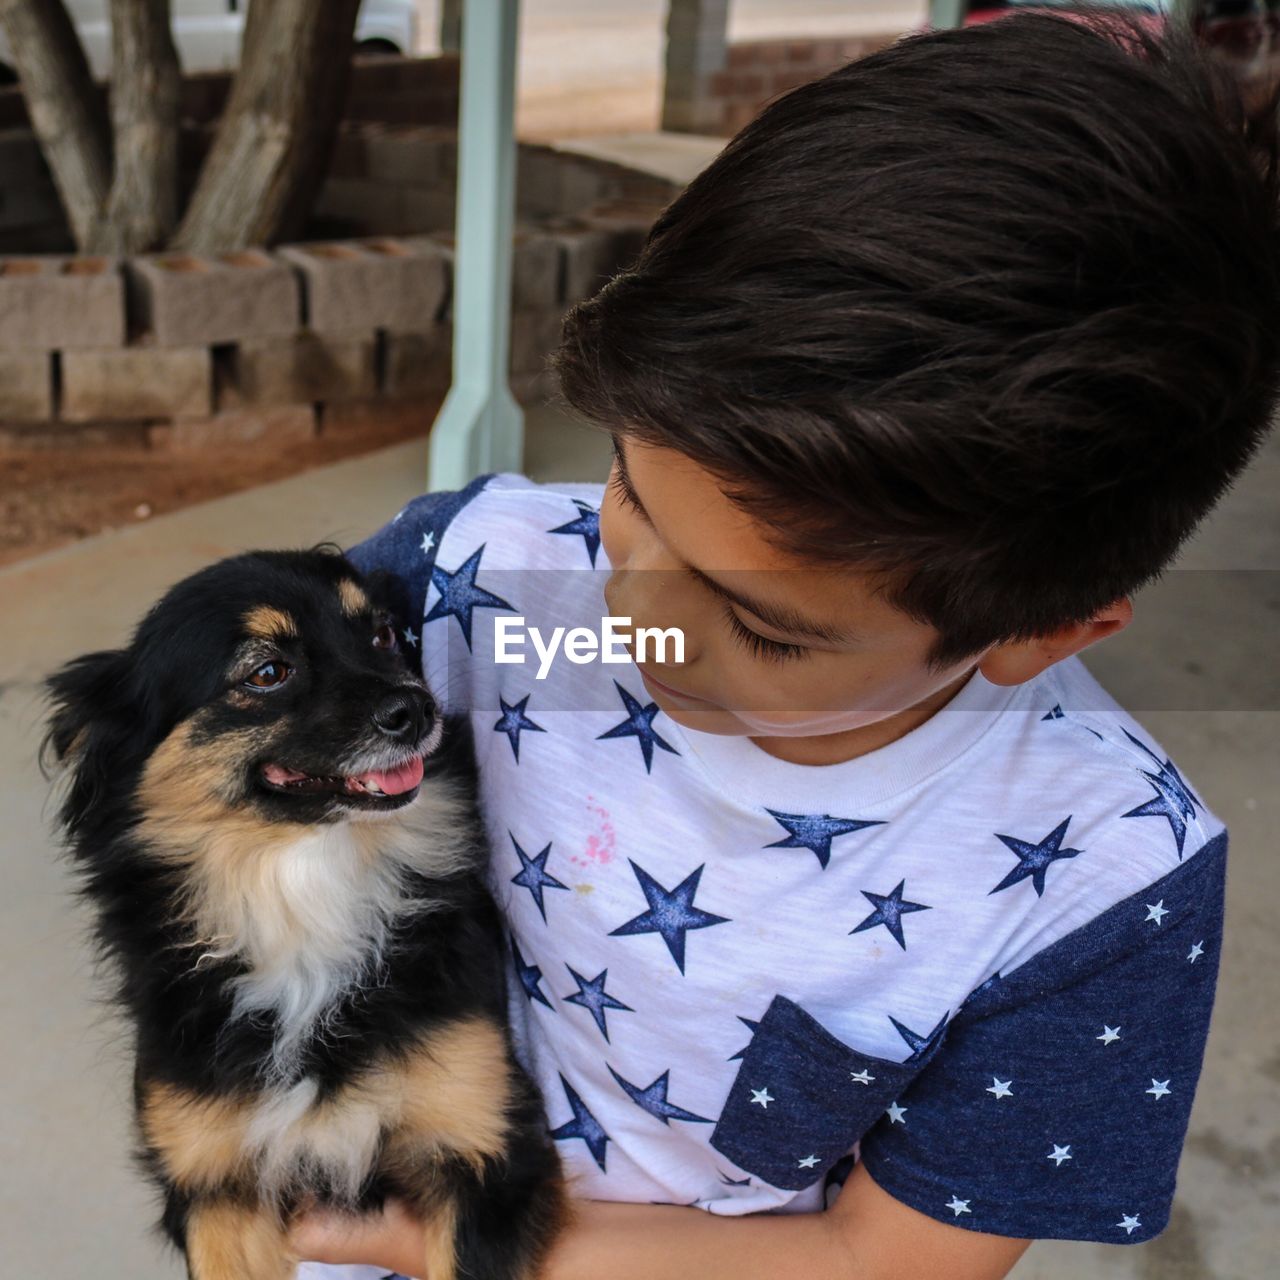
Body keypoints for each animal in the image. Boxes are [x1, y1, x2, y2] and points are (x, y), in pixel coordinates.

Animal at [45, 550, 565, 1280]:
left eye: (382, 635)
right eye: (267, 672)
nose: (418, 706)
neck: (304, 881)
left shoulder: (483, 1147)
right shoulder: (214, 1185)